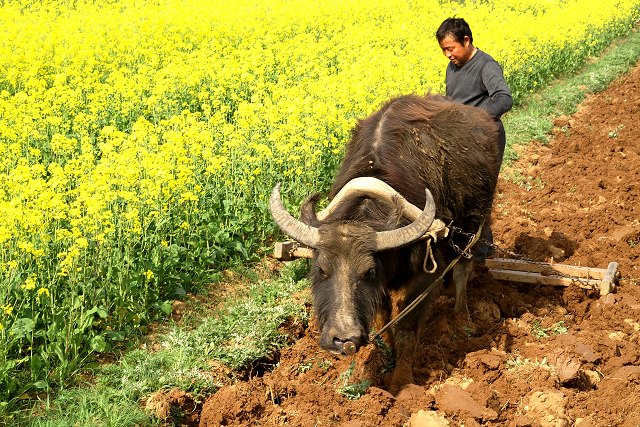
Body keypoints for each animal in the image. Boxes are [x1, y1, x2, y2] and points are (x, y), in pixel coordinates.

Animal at [270, 93, 500, 392]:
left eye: (368, 271)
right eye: (321, 270)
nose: (343, 339)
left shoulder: (428, 273)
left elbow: (406, 328)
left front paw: (401, 381)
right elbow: (383, 318)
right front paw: (385, 353)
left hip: (474, 223)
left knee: (463, 267)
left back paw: (461, 318)